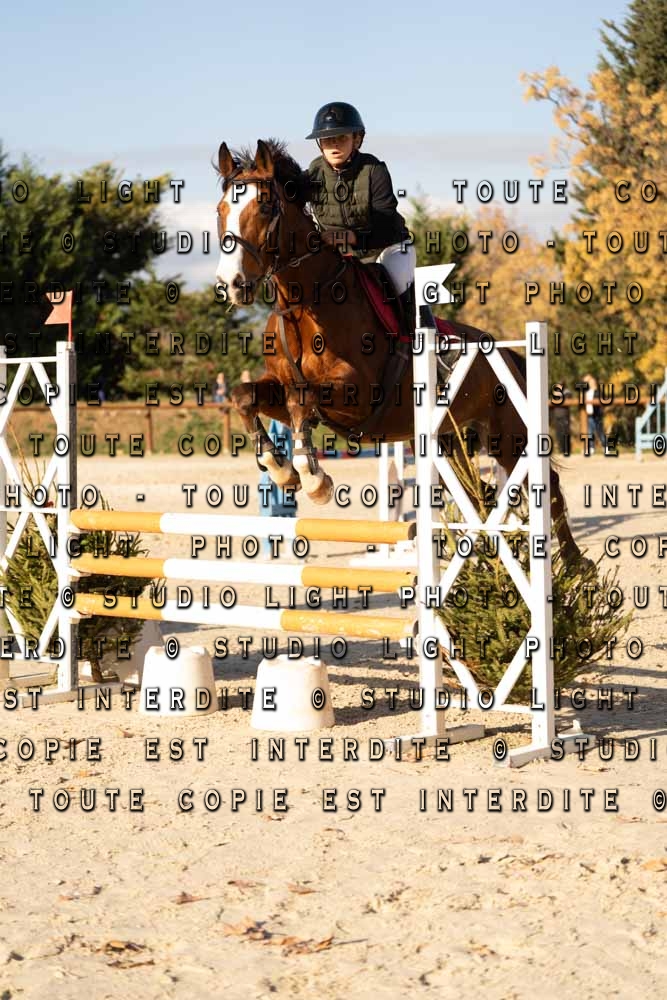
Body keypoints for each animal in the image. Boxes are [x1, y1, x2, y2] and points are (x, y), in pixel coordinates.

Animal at [214, 139, 583, 564]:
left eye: (264, 207)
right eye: (221, 210)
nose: (230, 284)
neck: (304, 305)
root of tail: (508, 353)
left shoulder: (355, 393)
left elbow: (300, 401)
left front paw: (314, 479)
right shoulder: (280, 386)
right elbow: (246, 397)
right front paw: (281, 469)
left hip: (507, 434)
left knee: (546, 484)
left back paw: (577, 565)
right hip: (451, 441)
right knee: (477, 493)